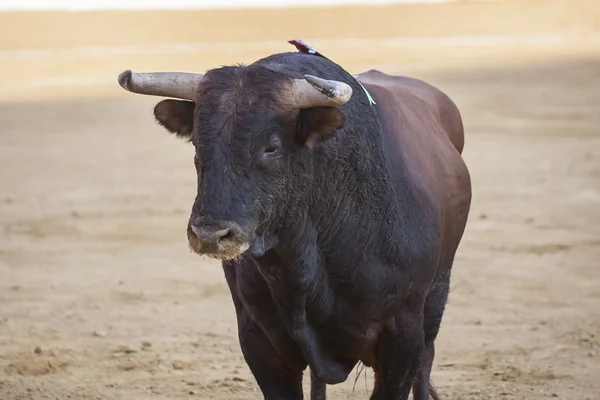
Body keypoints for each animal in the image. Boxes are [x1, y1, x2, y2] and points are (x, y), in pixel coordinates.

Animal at [117, 41, 472, 400]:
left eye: (271, 147)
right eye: (196, 142)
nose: (209, 235)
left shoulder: (402, 339)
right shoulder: (259, 340)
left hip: (436, 295)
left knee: (426, 361)